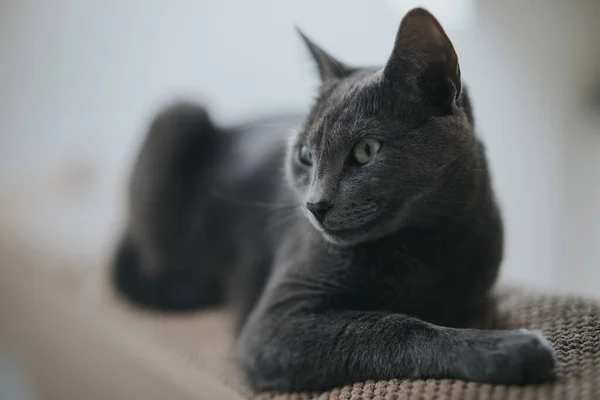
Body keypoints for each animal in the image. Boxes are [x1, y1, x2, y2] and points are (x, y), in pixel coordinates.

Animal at [113, 7, 556, 392]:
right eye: (305, 156)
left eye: (366, 150)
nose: (315, 205)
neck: (421, 246)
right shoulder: (274, 321)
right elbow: (391, 327)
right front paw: (508, 349)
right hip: (178, 116)